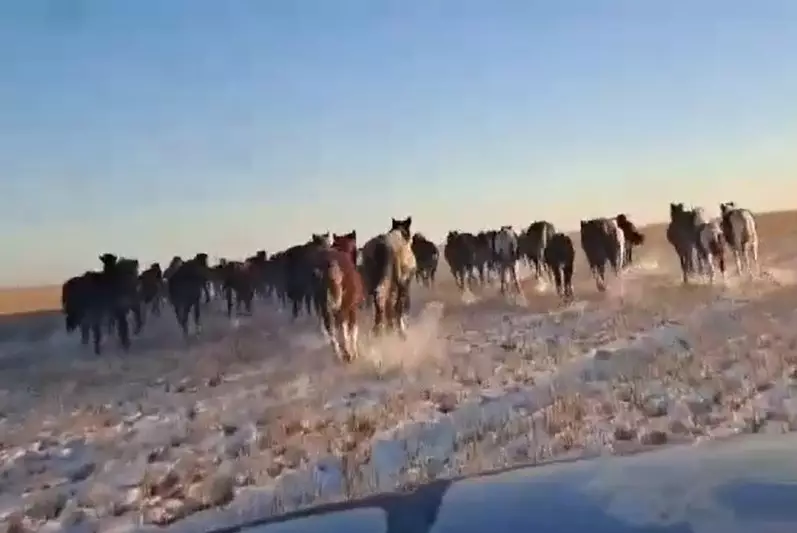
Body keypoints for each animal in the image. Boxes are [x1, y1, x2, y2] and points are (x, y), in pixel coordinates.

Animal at [318, 233, 366, 362]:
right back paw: (348, 353)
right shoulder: (353, 309)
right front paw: (354, 352)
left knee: (331, 330)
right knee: (343, 326)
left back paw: (338, 355)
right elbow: (353, 330)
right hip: (343, 307)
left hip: (325, 309)